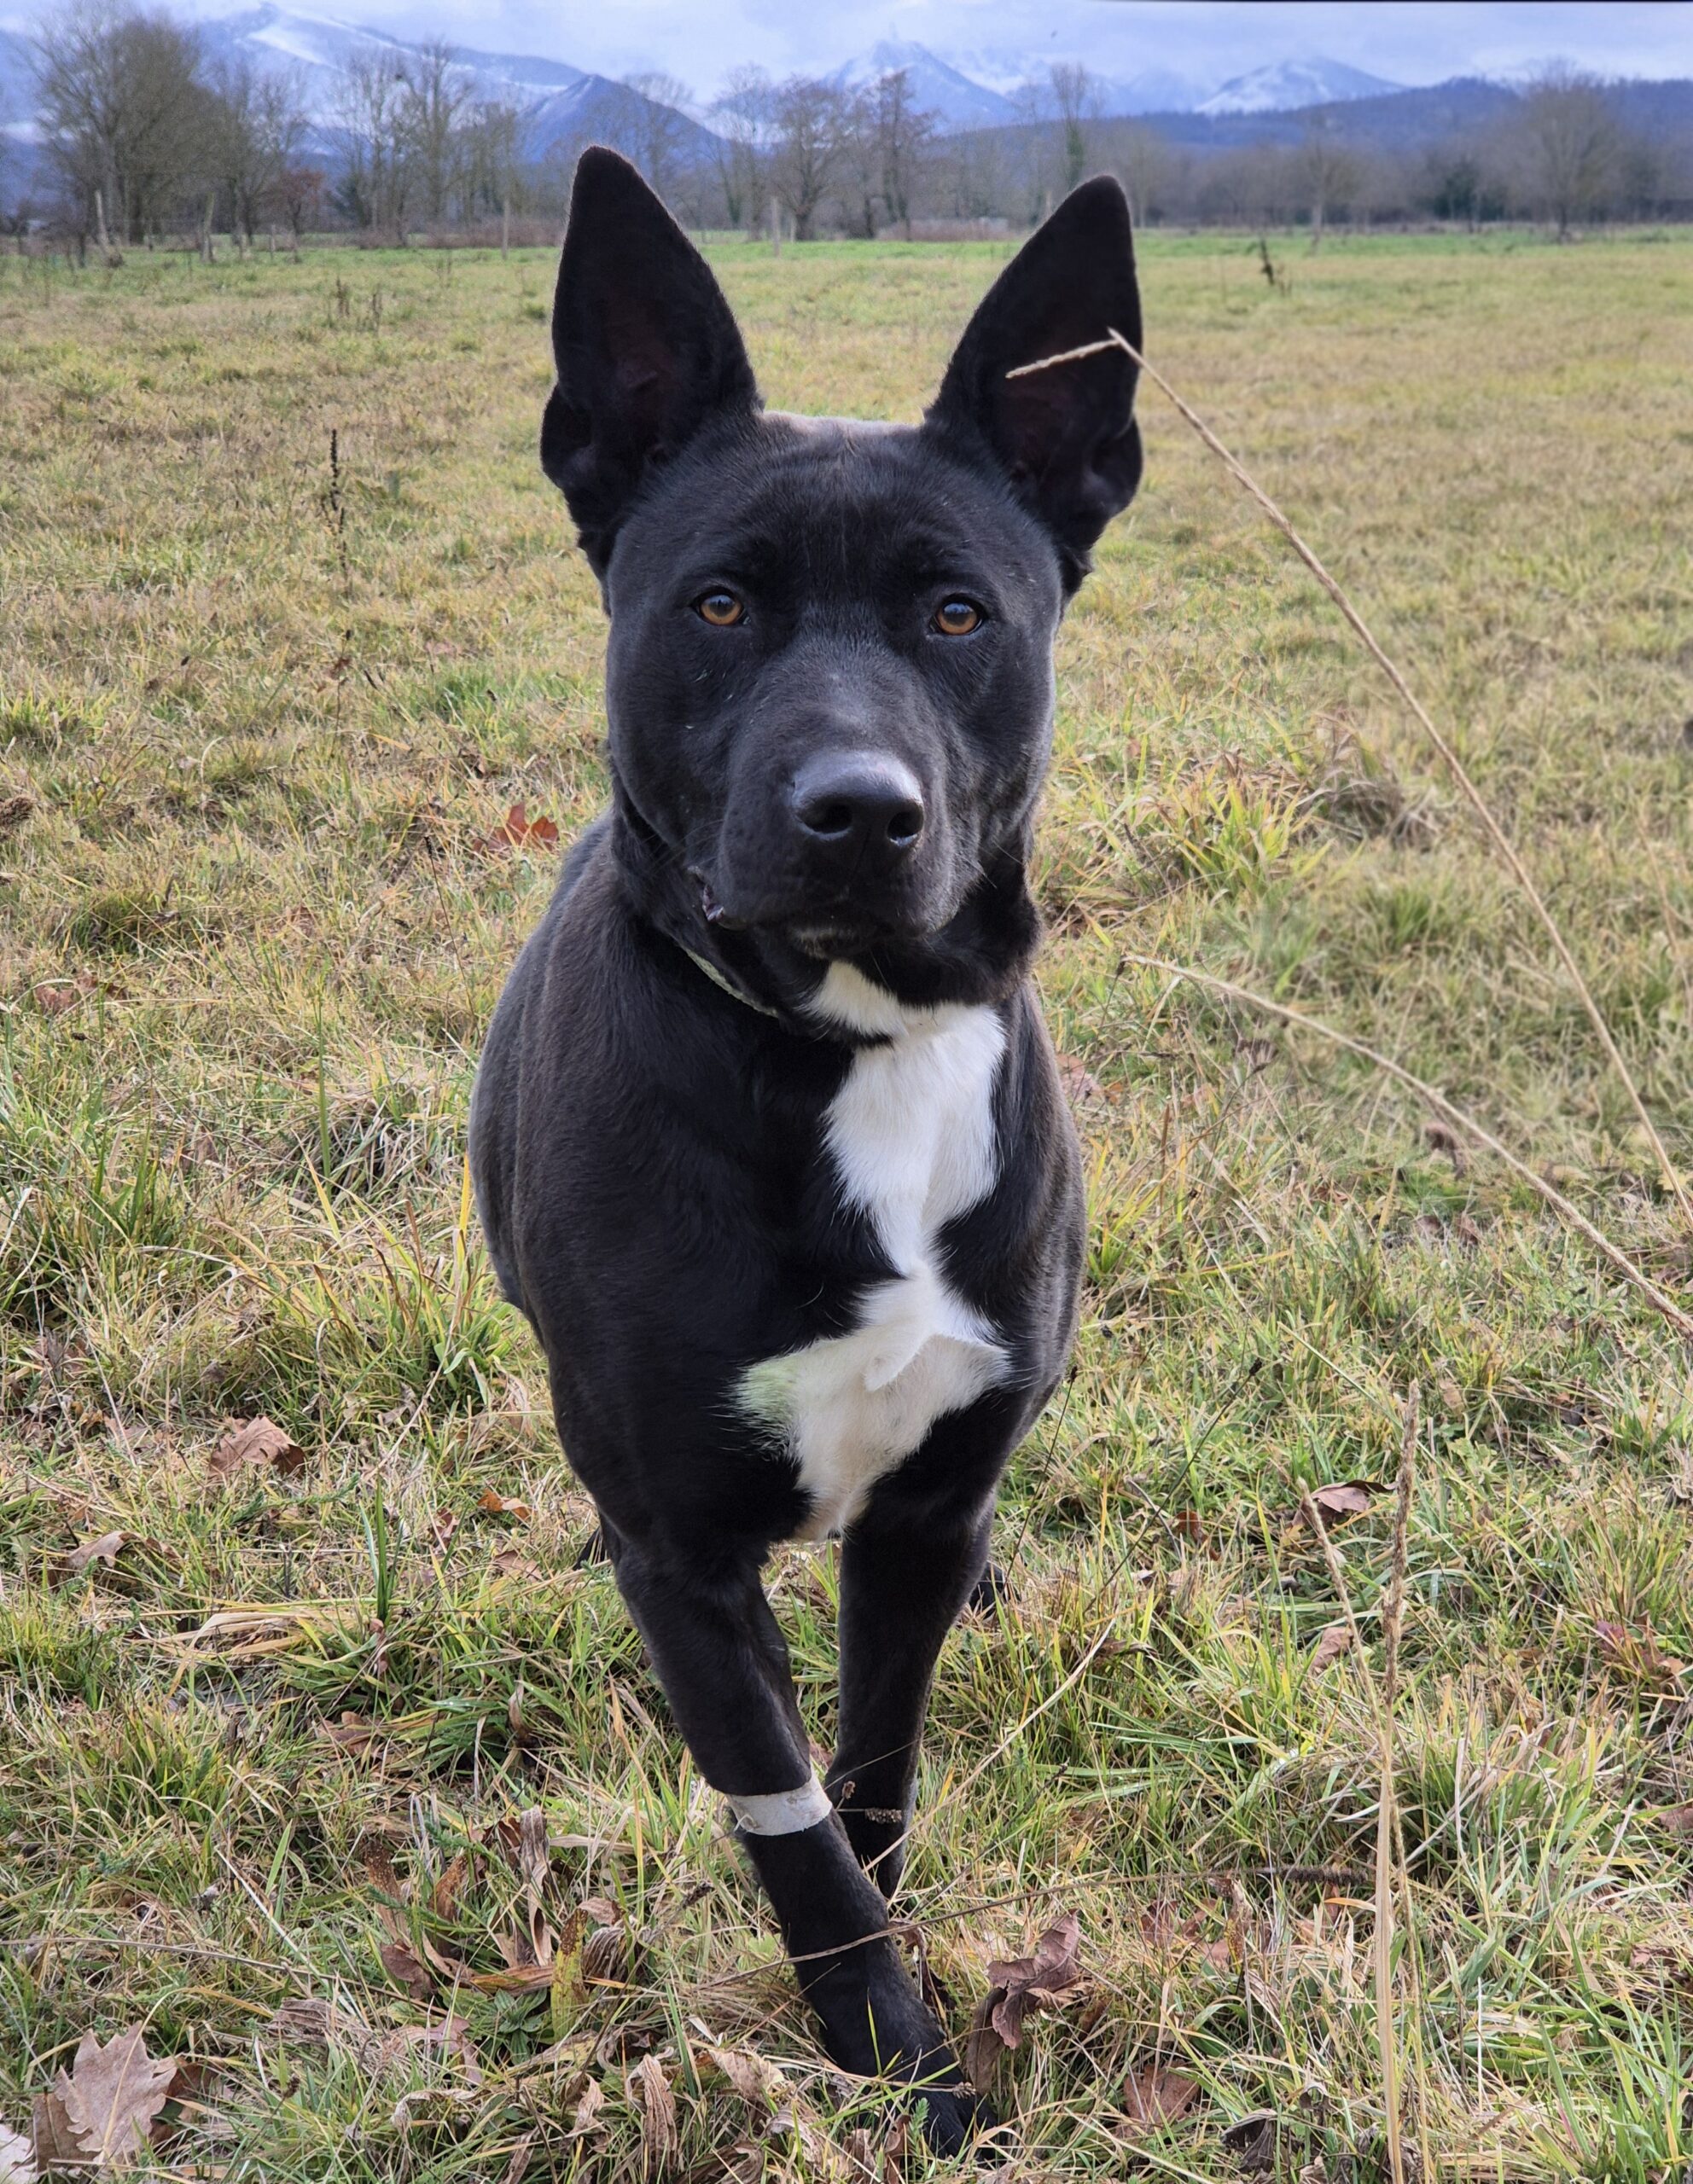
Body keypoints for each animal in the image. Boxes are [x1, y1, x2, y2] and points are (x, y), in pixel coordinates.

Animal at [470, 147, 1142, 2152]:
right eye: (713, 607)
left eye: (956, 615)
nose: (858, 811)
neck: (852, 1044)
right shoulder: (678, 1550)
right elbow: (793, 1835)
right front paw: (896, 2065)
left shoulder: (921, 1514)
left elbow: (874, 1763)